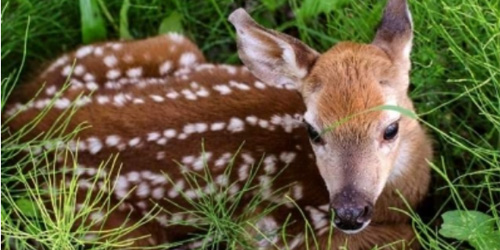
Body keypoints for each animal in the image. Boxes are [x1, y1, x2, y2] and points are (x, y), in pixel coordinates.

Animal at [3, 0, 432, 247]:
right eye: (312, 130)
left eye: (390, 128)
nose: (349, 213)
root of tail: (21, 125)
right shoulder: (272, 225)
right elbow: (405, 237)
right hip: (96, 217)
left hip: (164, 45)